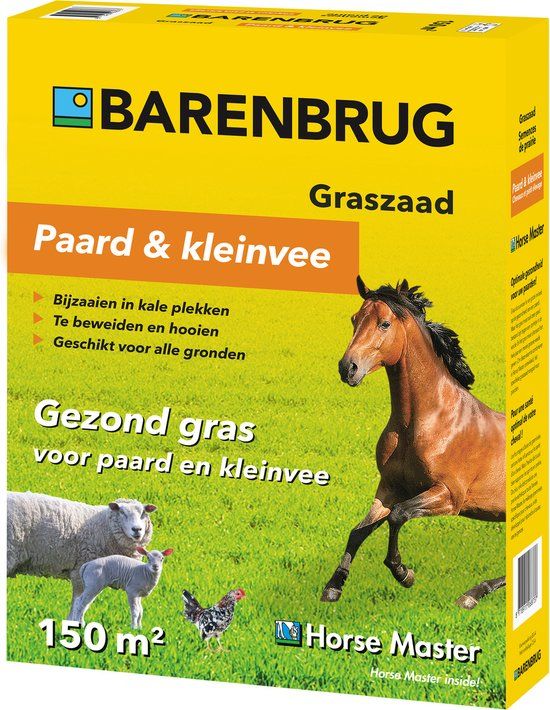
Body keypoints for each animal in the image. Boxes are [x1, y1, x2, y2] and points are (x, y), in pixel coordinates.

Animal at [321, 277, 505, 609]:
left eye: (384, 323)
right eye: (354, 319)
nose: (348, 368)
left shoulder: (449, 496)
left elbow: (398, 515)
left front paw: (403, 573)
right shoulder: (389, 488)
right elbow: (358, 531)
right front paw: (333, 587)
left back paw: (471, 595)